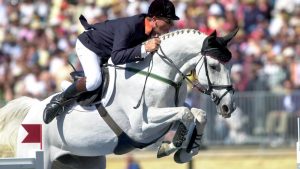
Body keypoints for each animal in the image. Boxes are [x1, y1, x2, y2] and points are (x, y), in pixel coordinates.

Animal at [0, 28, 237, 168]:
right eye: (214, 66)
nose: (229, 107)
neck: (160, 73)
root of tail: (31, 112)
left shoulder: (167, 114)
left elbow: (198, 114)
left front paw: (186, 152)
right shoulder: (142, 127)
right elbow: (186, 113)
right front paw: (171, 146)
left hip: (85, 160)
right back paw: (51, 108)